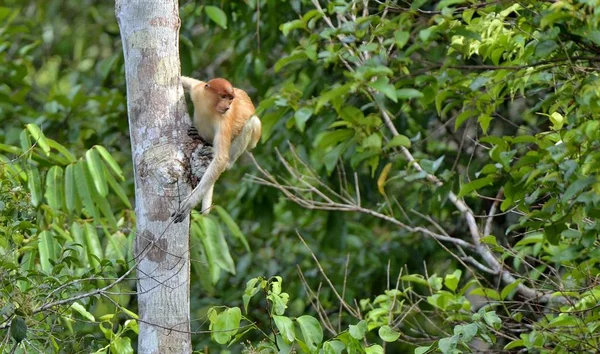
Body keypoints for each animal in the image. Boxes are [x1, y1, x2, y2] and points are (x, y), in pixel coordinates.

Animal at [171, 76, 260, 223]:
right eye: (223, 96)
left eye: (230, 98)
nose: (227, 106)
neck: (210, 108)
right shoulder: (198, 91)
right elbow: (185, 81)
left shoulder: (224, 120)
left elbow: (221, 159)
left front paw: (189, 203)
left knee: (252, 122)